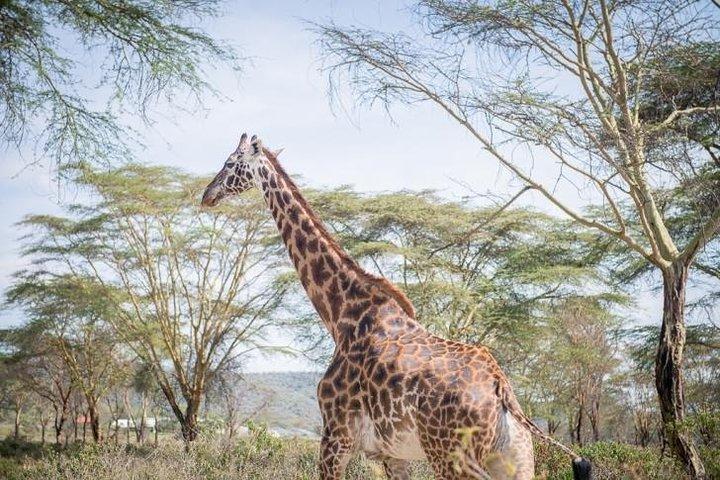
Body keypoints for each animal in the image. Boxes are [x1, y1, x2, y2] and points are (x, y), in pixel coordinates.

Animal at [201, 133, 592, 480]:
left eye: (230, 163)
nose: (207, 194)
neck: (341, 314)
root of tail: (501, 391)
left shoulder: (335, 435)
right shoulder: (390, 452)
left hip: (450, 454)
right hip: (516, 457)